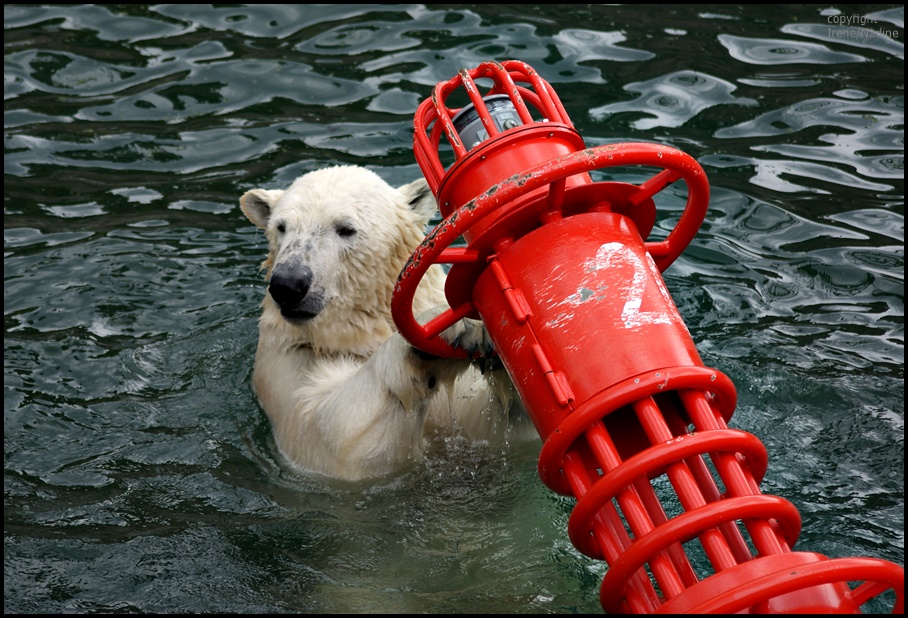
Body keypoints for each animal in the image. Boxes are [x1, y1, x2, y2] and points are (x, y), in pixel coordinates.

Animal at [241, 165, 532, 482]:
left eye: (345, 228)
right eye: (281, 227)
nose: (288, 284)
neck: (357, 337)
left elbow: (499, 426)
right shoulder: (285, 364)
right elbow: (341, 442)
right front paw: (457, 328)